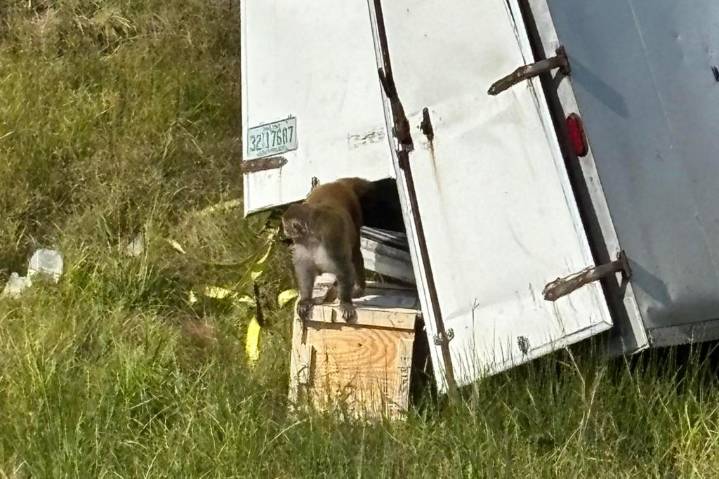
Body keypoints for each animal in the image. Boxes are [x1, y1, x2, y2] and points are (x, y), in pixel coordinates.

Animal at [282, 177, 372, 321]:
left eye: (286, 226)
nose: (284, 231)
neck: (312, 236)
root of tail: (337, 183)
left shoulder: (331, 238)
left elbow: (344, 268)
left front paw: (345, 302)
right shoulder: (302, 244)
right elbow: (305, 269)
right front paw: (305, 300)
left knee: (355, 253)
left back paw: (359, 287)